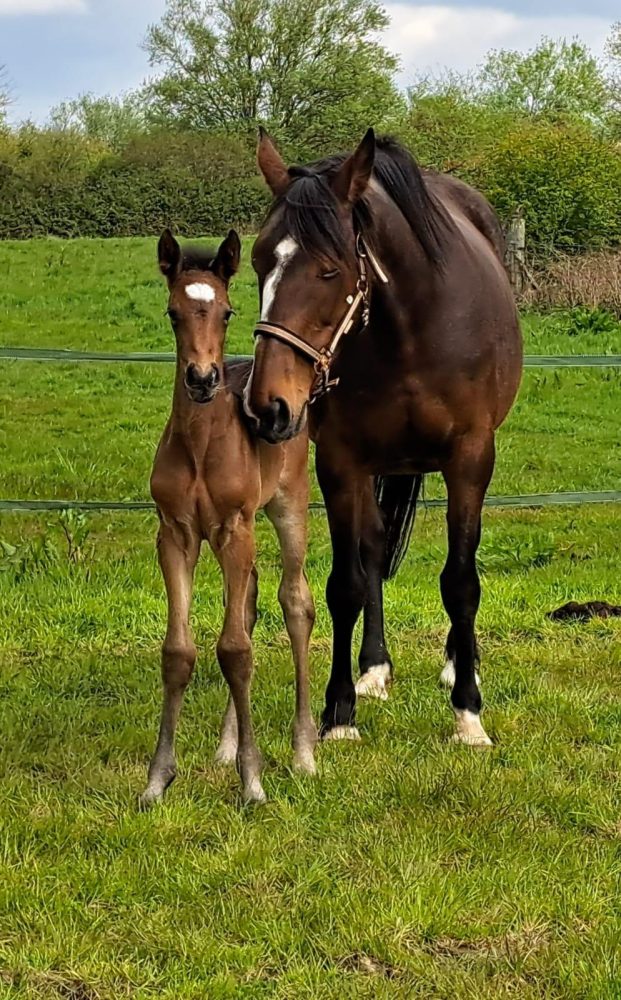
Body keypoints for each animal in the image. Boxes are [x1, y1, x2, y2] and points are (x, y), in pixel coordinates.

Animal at [140, 229, 317, 806]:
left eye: (226, 311)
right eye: (173, 313)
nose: (201, 379)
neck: (201, 443)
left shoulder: (237, 529)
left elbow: (236, 651)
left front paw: (254, 781)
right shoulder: (176, 534)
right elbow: (180, 651)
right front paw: (157, 778)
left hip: (287, 508)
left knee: (295, 602)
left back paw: (304, 751)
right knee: (250, 602)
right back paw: (225, 746)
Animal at [245, 128, 522, 746]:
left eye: (329, 269)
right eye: (257, 261)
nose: (269, 406)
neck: (413, 329)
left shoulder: (471, 457)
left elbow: (461, 580)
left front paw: (469, 713)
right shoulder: (342, 462)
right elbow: (346, 583)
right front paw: (339, 713)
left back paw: (458, 666)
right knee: (373, 550)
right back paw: (374, 669)